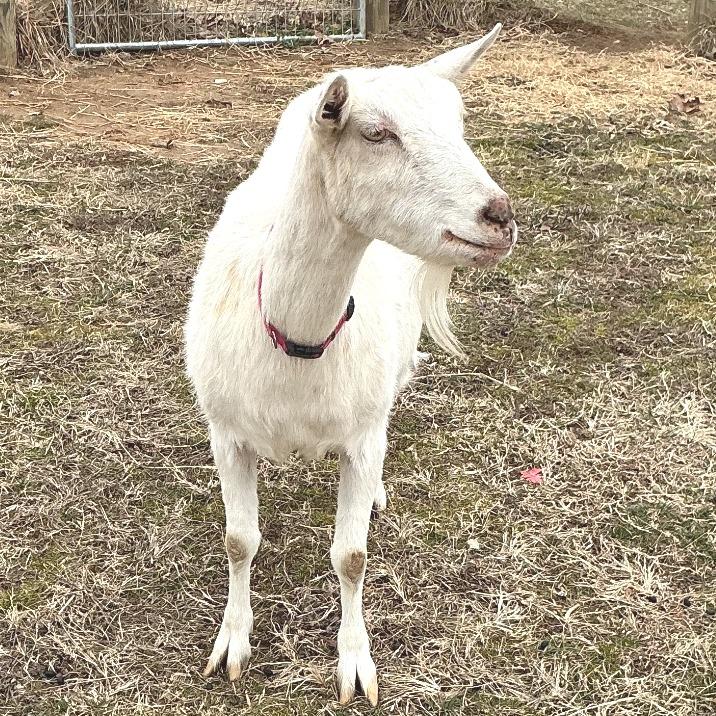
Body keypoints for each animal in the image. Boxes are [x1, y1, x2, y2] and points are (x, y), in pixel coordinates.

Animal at [184, 24, 516, 706]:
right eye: (375, 133)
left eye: (460, 123)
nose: (500, 216)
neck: (296, 339)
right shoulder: (226, 432)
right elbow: (238, 540)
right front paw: (232, 644)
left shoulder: (360, 435)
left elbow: (352, 556)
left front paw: (355, 662)